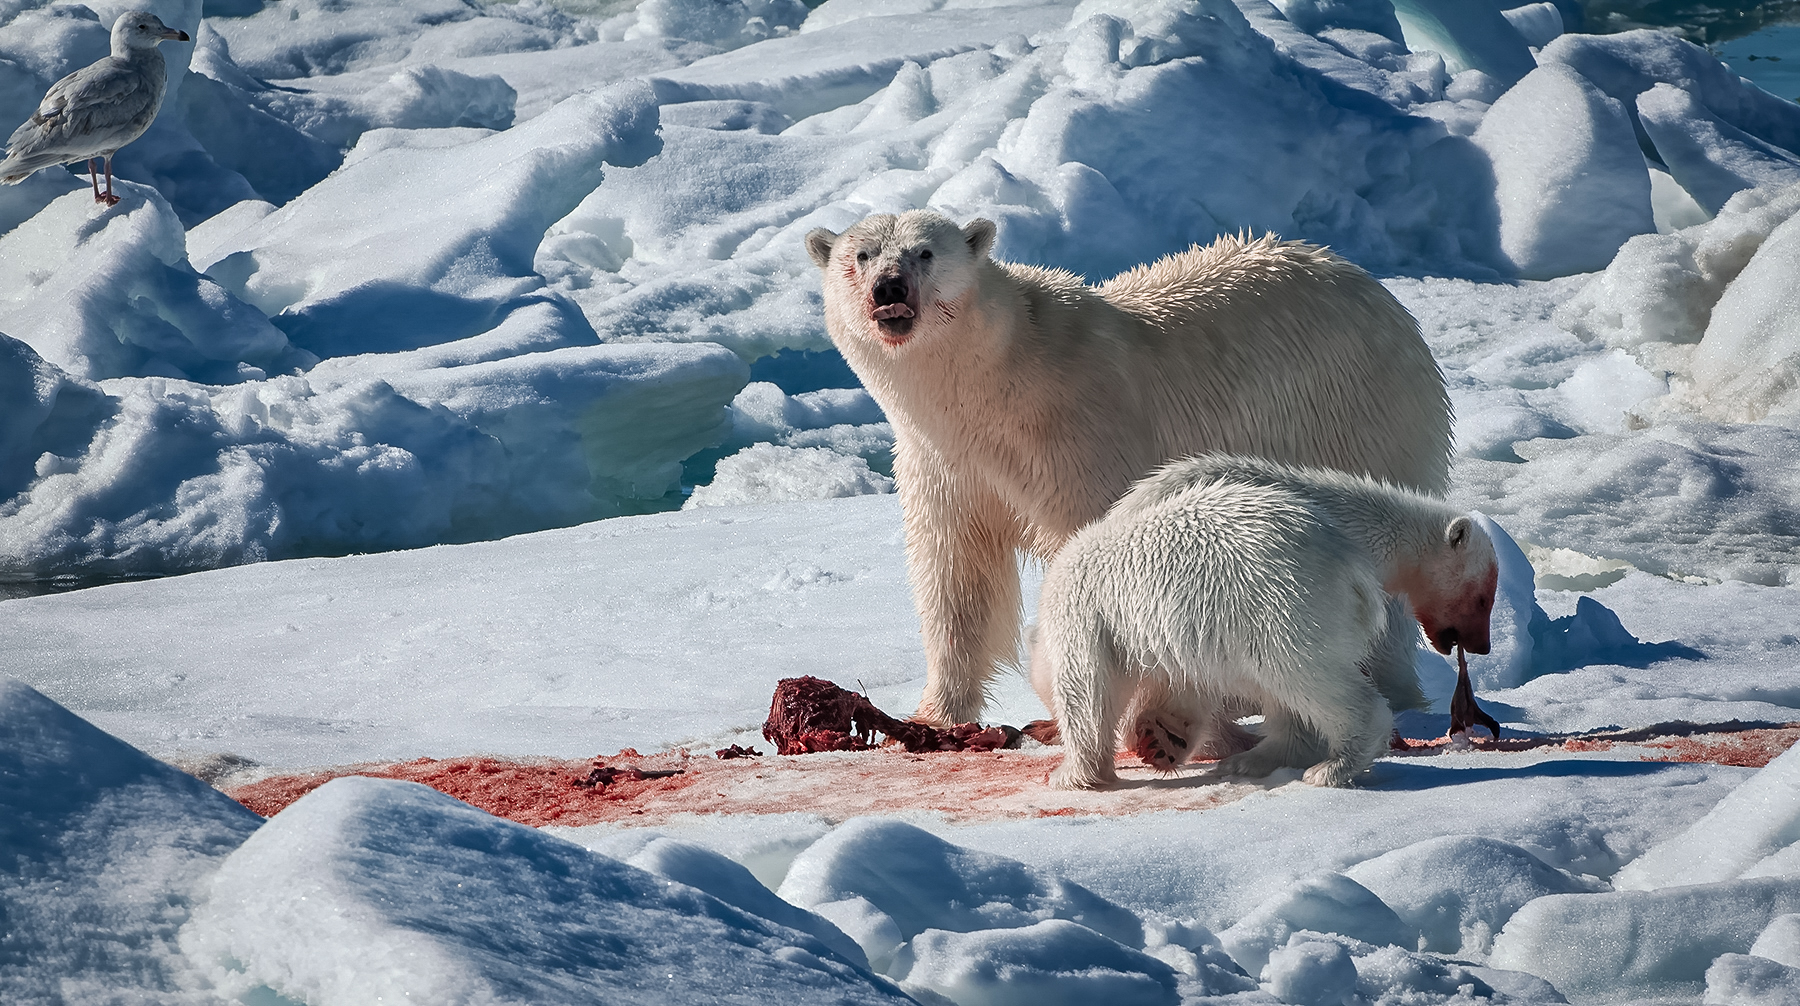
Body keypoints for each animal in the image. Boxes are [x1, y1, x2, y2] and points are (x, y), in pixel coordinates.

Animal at [804, 210, 1451, 729]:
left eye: (925, 252)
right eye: (861, 255)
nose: (889, 287)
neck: (999, 389)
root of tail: (1371, 286)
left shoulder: (1079, 438)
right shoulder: (944, 465)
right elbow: (957, 577)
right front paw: (935, 714)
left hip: (1359, 416)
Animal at [1030, 453, 1498, 790]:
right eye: (1482, 598)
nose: (1482, 646)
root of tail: (1349, 570)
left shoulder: (1092, 616)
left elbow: (1088, 688)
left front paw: (1072, 774)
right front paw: (1159, 739)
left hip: (1275, 605)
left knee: (1298, 675)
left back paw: (1323, 765)